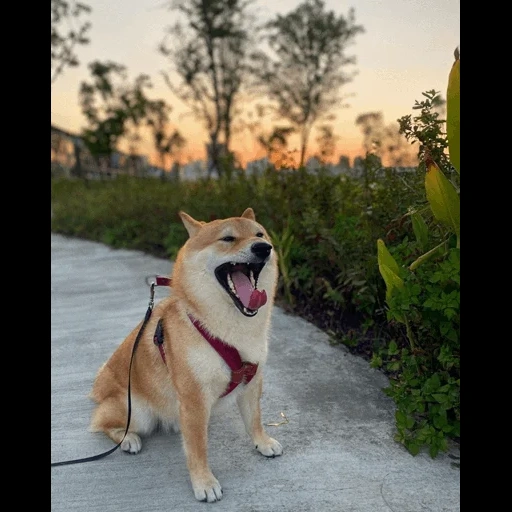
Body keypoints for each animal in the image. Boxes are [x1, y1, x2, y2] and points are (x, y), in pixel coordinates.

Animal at [87, 207, 280, 500]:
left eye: (260, 235)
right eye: (228, 238)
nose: (263, 248)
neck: (228, 332)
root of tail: (102, 387)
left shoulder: (251, 381)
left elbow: (254, 420)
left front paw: (263, 442)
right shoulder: (194, 396)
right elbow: (198, 448)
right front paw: (204, 482)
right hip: (138, 412)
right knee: (101, 421)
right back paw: (128, 438)